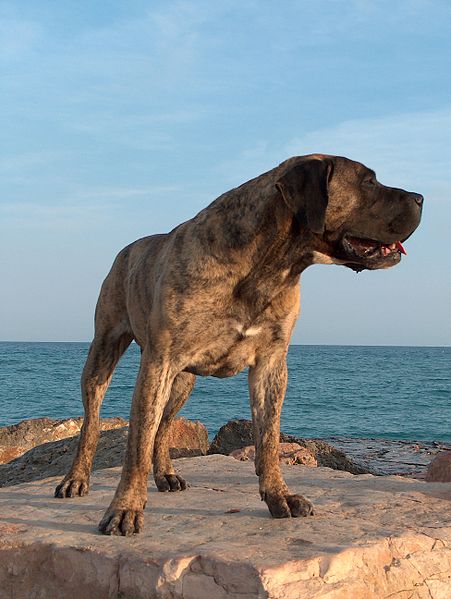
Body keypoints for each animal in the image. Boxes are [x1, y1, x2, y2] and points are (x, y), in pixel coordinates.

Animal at [55, 154, 424, 536]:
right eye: (368, 182)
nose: (420, 198)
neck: (268, 266)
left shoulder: (270, 365)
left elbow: (268, 440)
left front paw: (279, 496)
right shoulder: (159, 362)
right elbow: (136, 445)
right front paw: (125, 508)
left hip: (181, 382)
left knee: (164, 426)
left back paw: (166, 473)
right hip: (105, 351)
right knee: (93, 422)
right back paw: (76, 479)